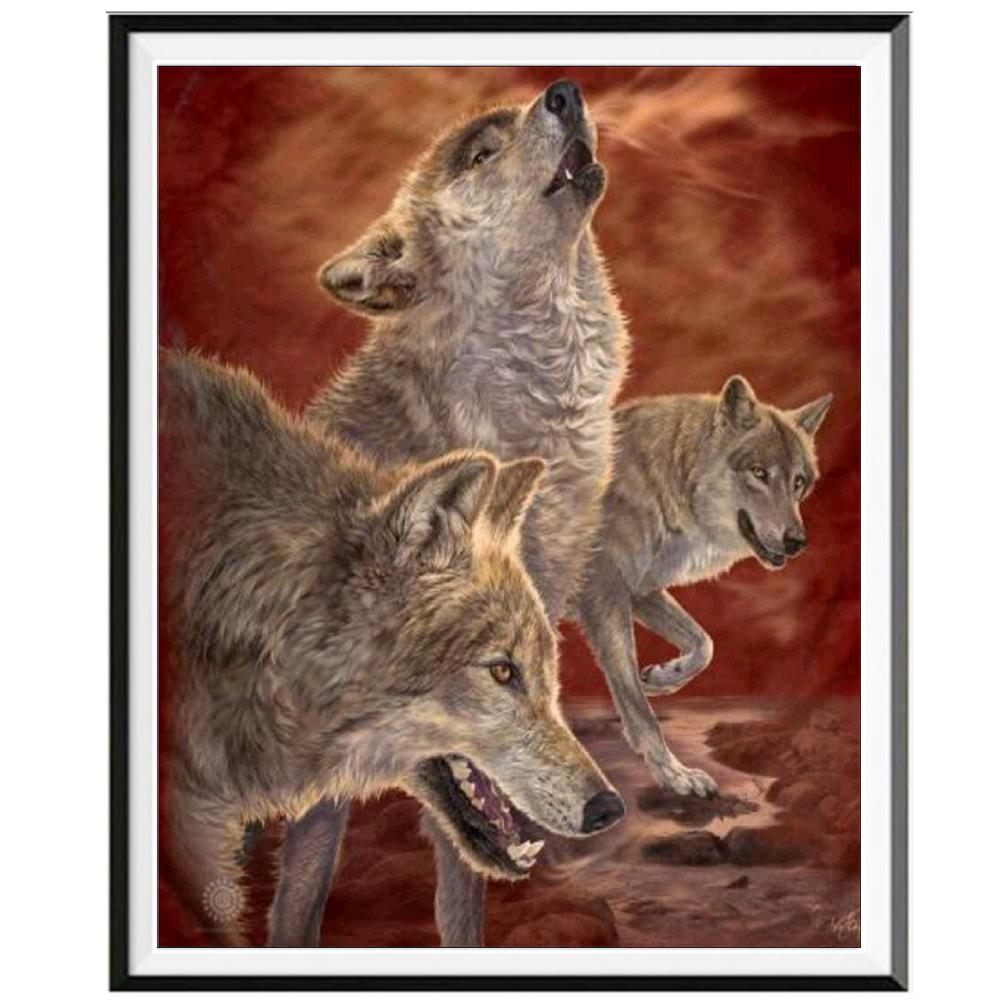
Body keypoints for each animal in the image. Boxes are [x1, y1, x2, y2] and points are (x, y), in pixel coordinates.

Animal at [576, 375, 833, 796]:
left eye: (798, 482)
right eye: (759, 473)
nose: (797, 541)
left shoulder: (640, 592)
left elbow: (704, 645)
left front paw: (662, 678)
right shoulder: (604, 597)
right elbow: (639, 709)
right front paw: (674, 775)